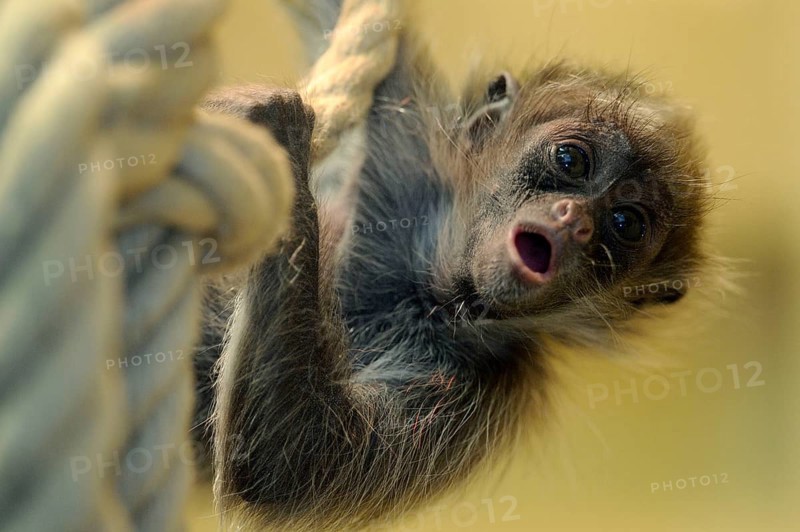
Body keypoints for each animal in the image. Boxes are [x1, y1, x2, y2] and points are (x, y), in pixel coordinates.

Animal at [192, 20, 712, 532]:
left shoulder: (481, 385)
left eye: (625, 223)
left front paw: (281, 135)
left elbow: (287, 461)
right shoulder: (405, 147)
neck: (425, 289)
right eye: (570, 159)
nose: (574, 221)